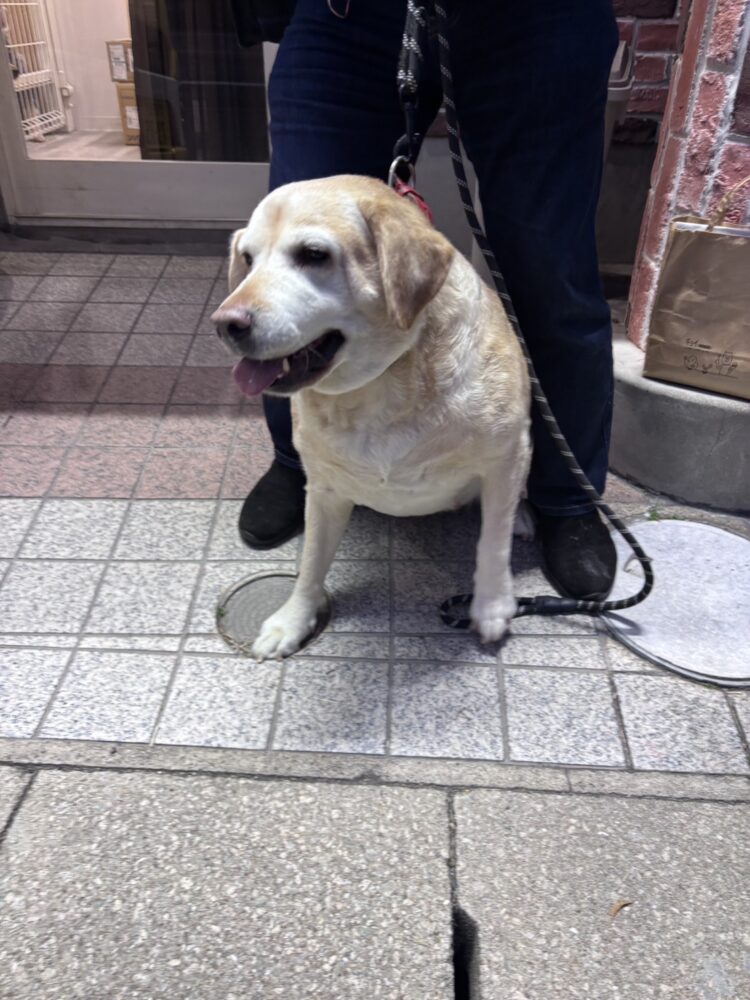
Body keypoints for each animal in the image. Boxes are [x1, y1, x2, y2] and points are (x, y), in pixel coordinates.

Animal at [213, 175, 531, 660]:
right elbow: (310, 564)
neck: (382, 385)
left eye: (313, 254)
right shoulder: (323, 488)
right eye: (247, 259)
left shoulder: (505, 455)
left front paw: (492, 604)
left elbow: (492, 541)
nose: (225, 324)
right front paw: (293, 620)